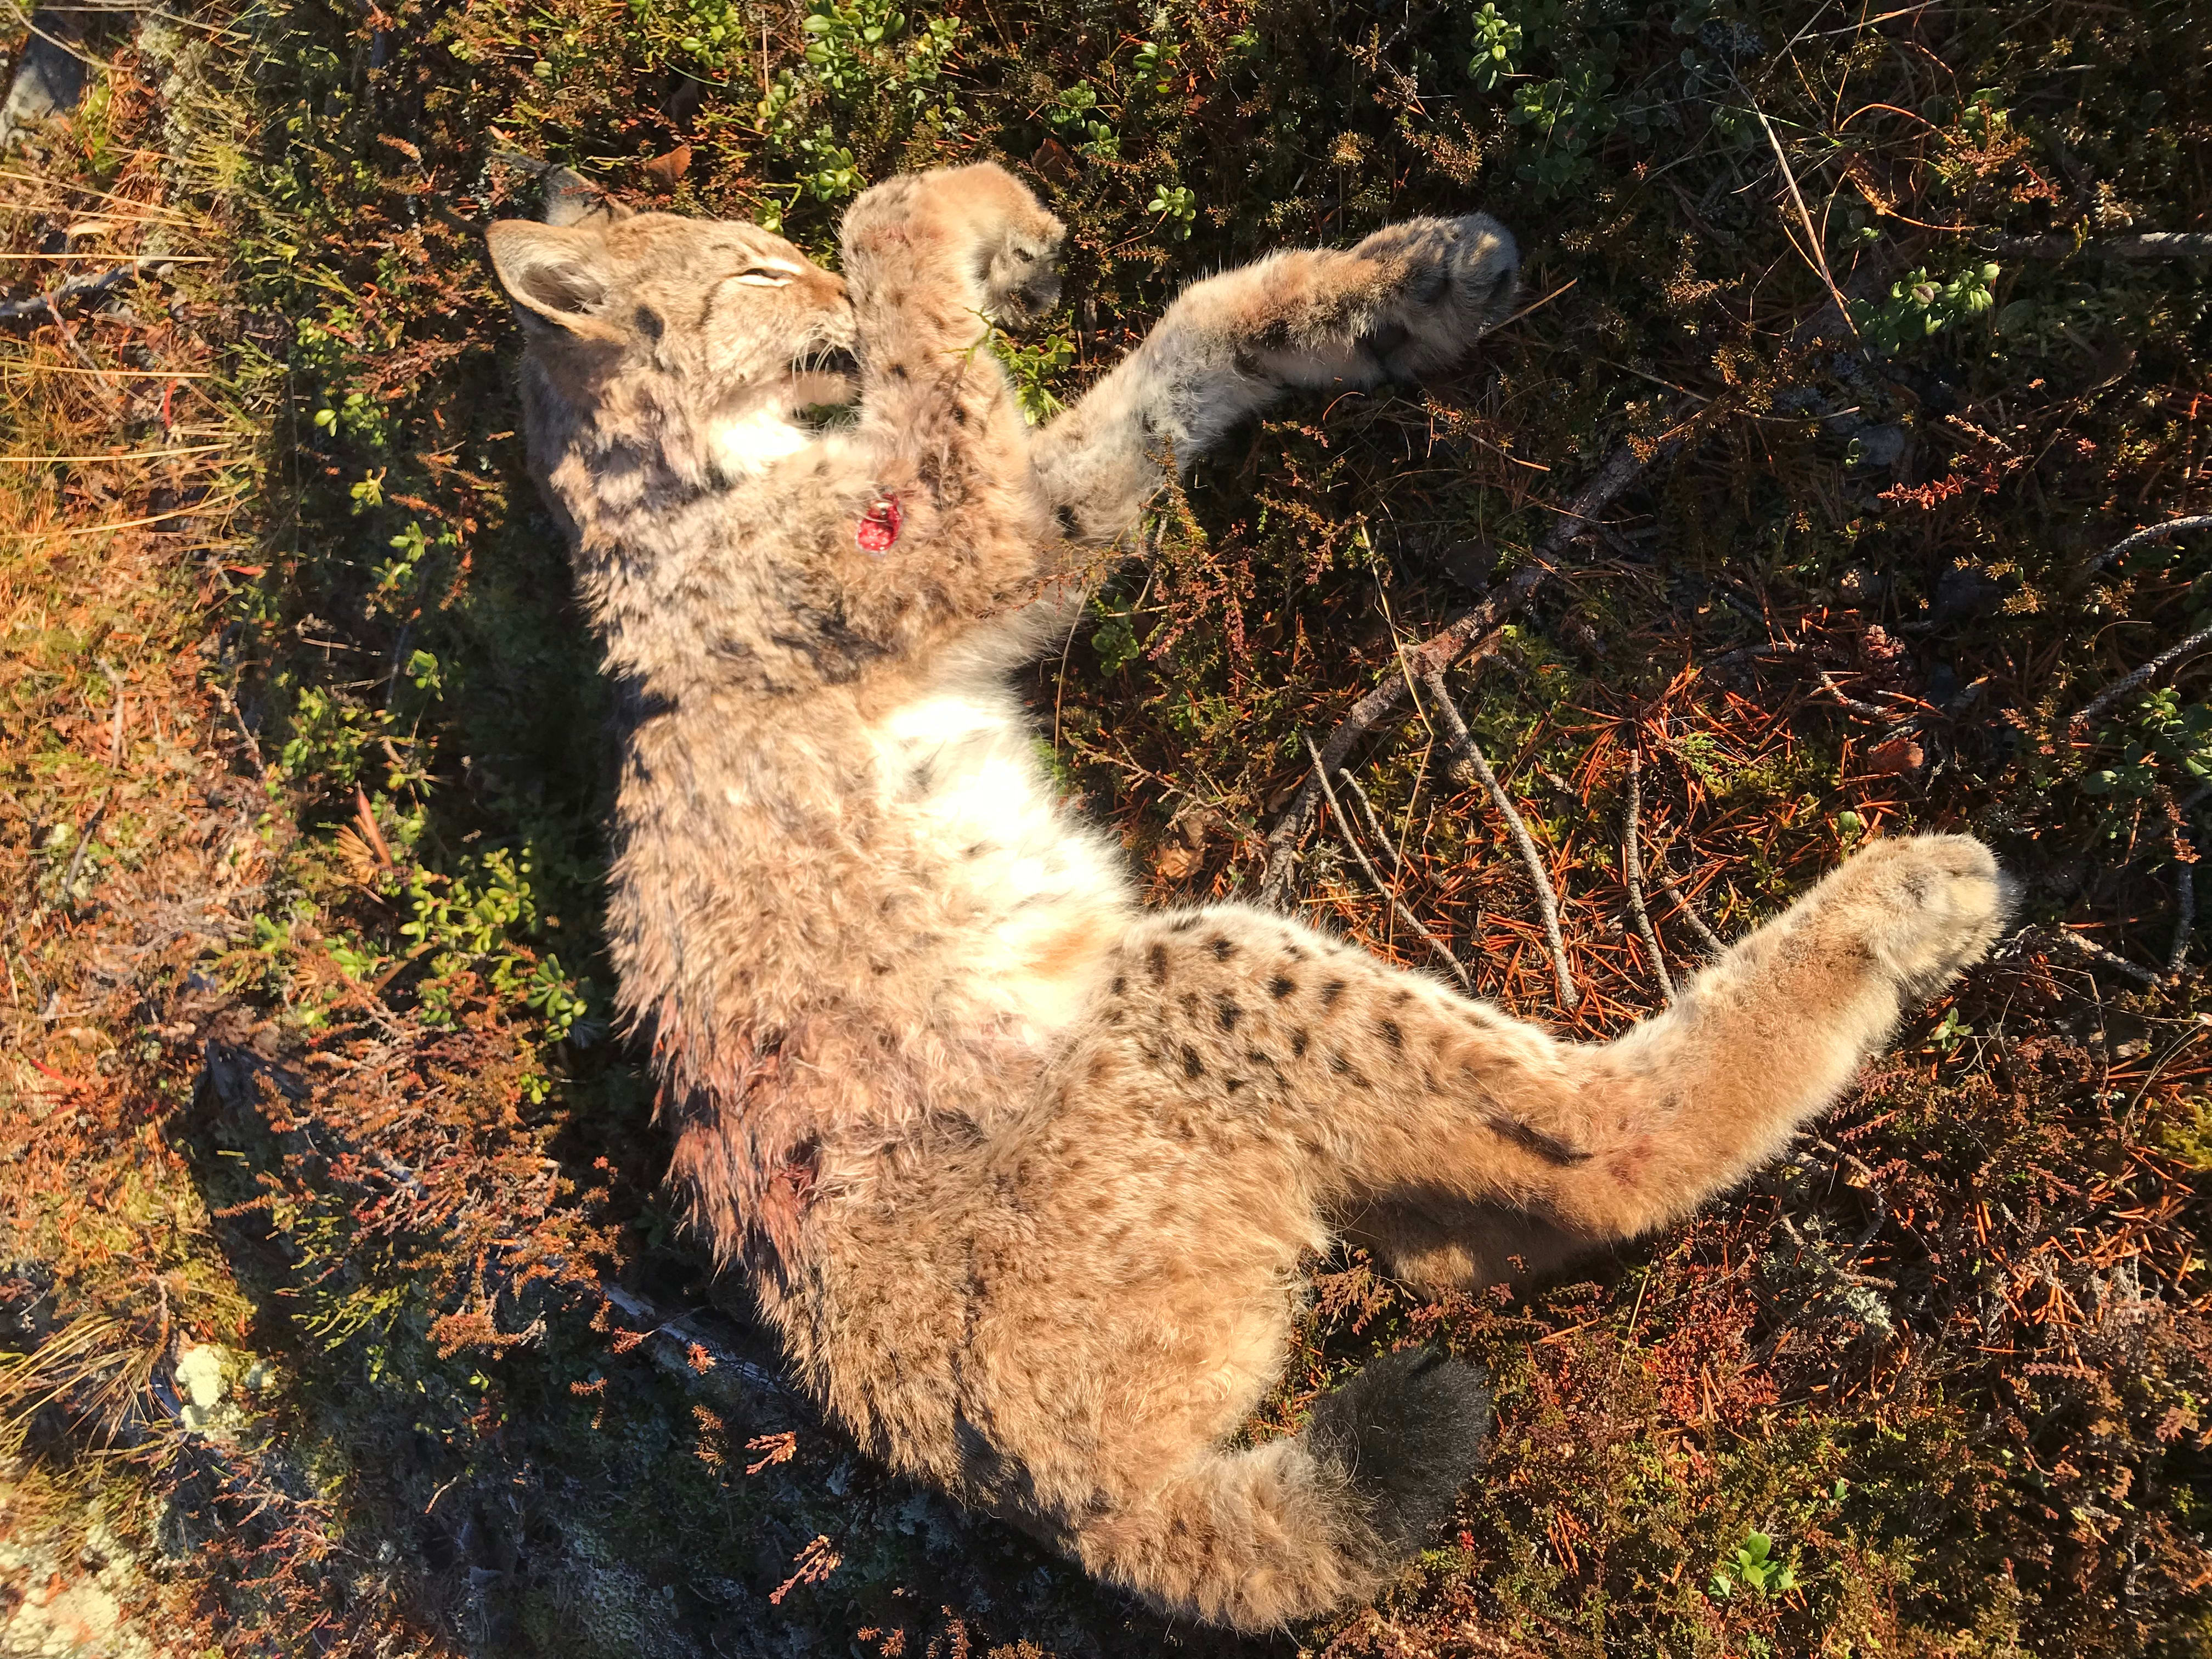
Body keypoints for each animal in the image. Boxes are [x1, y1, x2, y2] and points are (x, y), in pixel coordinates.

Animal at [486, 161, 2010, 1630]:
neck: (670, 484)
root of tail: (1036, 1489)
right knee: (1597, 1145)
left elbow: (1158, 369)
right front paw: (971, 220)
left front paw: (1384, 291)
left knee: (1464, 1236)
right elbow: (899, 223)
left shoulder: (1014, 525)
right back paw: (1898, 911)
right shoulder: (941, 528)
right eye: (752, 270)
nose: (821, 308)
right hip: (1184, 980)